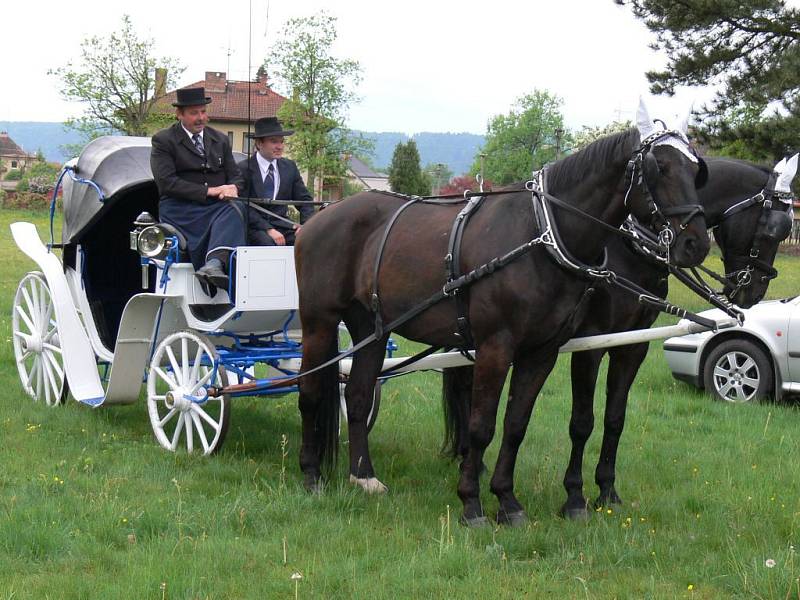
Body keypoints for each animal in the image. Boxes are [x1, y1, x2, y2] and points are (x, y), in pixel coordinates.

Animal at [296, 115, 708, 524]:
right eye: (660, 167)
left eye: (696, 170)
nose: (697, 244)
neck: (541, 235)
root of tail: (319, 217)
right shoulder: (499, 346)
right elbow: (482, 426)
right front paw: (472, 503)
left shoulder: (545, 352)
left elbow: (516, 425)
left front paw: (507, 500)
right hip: (318, 323)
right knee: (309, 392)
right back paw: (311, 475)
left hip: (372, 328)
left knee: (358, 395)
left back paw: (363, 476)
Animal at [440, 155, 796, 520]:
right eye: (773, 228)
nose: (754, 292)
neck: (630, 247)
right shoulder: (592, 342)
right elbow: (582, 422)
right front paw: (574, 496)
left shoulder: (632, 345)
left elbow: (615, 418)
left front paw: (607, 490)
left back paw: (470, 460)